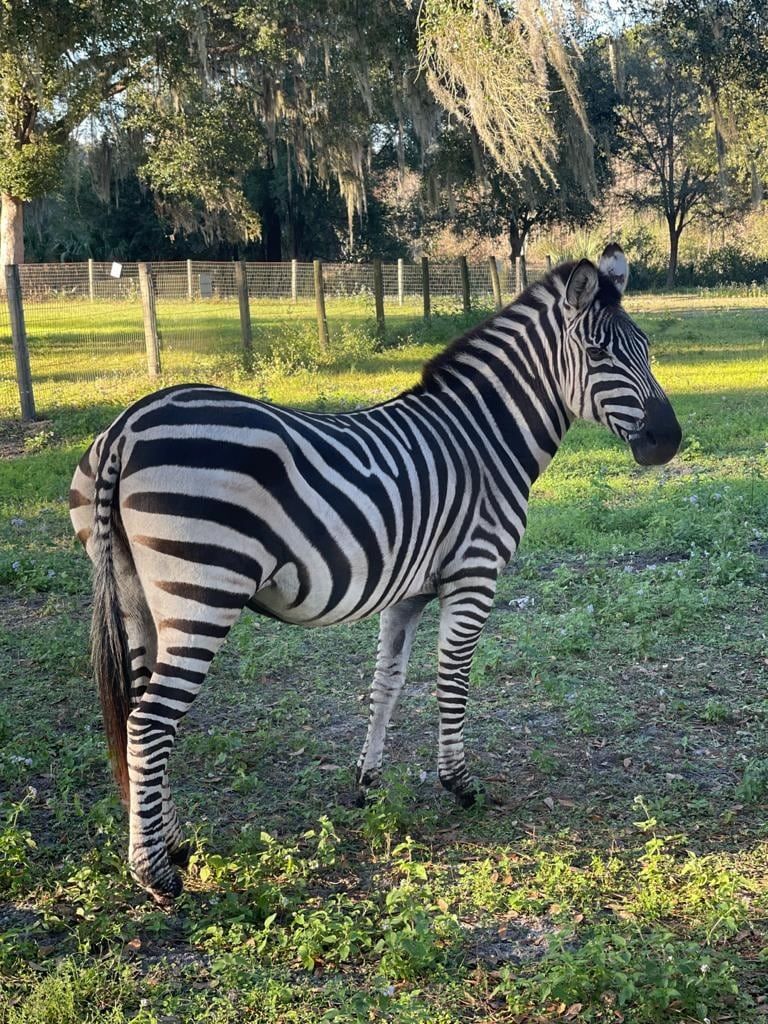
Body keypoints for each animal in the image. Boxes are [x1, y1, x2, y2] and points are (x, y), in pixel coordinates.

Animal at [69, 245, 681, 901]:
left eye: (646, 349)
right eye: (599, 354)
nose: (668, 441)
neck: (486, 441)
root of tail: (127, 427)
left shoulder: (407, 590)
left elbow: (386, 683)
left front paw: (367, 782)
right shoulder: (474, 575)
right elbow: (452, 681)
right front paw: (460, 784)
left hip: (136, 597)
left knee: (138, 715)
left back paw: (174, 843)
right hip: (201, 594)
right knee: (149, 723)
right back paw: (154, 874)